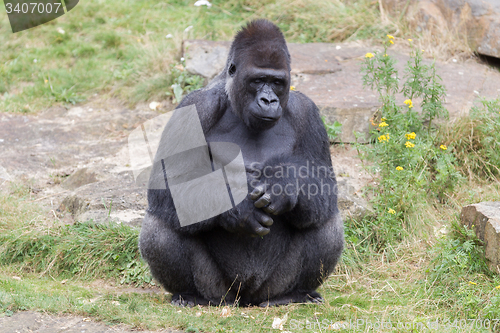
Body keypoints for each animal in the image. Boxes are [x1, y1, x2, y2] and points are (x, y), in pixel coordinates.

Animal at [140, 19, 344, 306]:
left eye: (277, 82)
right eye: (258, 80)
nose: (268, 100)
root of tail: (247, 297)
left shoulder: (308, 112)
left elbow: (323, 185)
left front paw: (284, 184)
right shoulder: (195, 106)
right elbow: (167, 186)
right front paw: (239, 208)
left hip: (272, 286)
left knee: (324, 219)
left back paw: (296, 293)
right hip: (219, 290)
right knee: (159, 224)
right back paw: (189, 294)